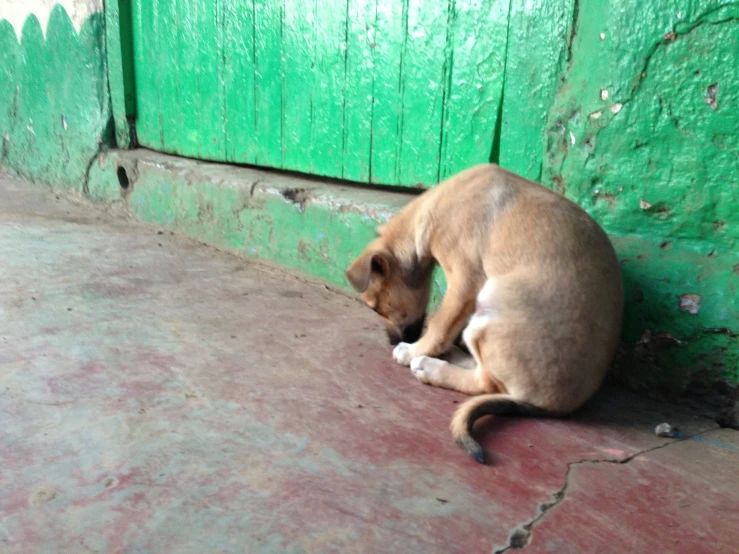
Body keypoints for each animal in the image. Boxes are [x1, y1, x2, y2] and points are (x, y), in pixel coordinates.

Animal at [346, 164, 624, 462]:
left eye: (375, 307)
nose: (392, 341)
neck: (432, 208)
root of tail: (558, 406)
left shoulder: (465, 280)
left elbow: (440, 325)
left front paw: (414, 350)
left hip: (492, 301)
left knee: (486, 383)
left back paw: (431, 367)